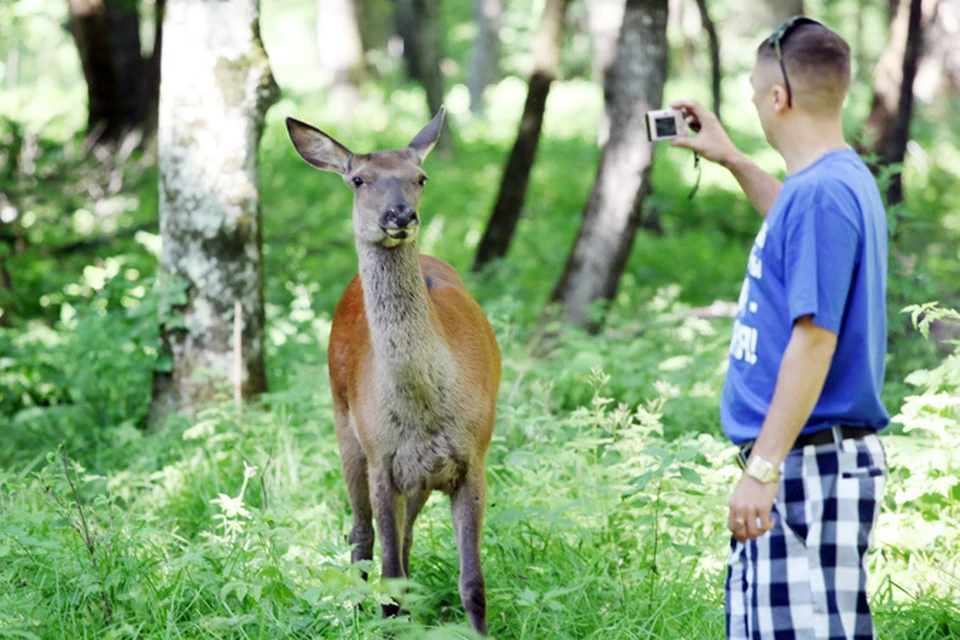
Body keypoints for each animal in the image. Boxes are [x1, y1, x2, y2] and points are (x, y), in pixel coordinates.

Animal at [284, 107, 498, 632]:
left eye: (420, 177)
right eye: (359, 179)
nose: (400, 215)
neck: (424, 409)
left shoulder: (473, 456)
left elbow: (472, 582)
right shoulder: (382, 459)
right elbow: (389, 575)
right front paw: (384, 621)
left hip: (416, 478)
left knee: (405, 537)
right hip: (344, 425)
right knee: (362, 535)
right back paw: (358, 611)